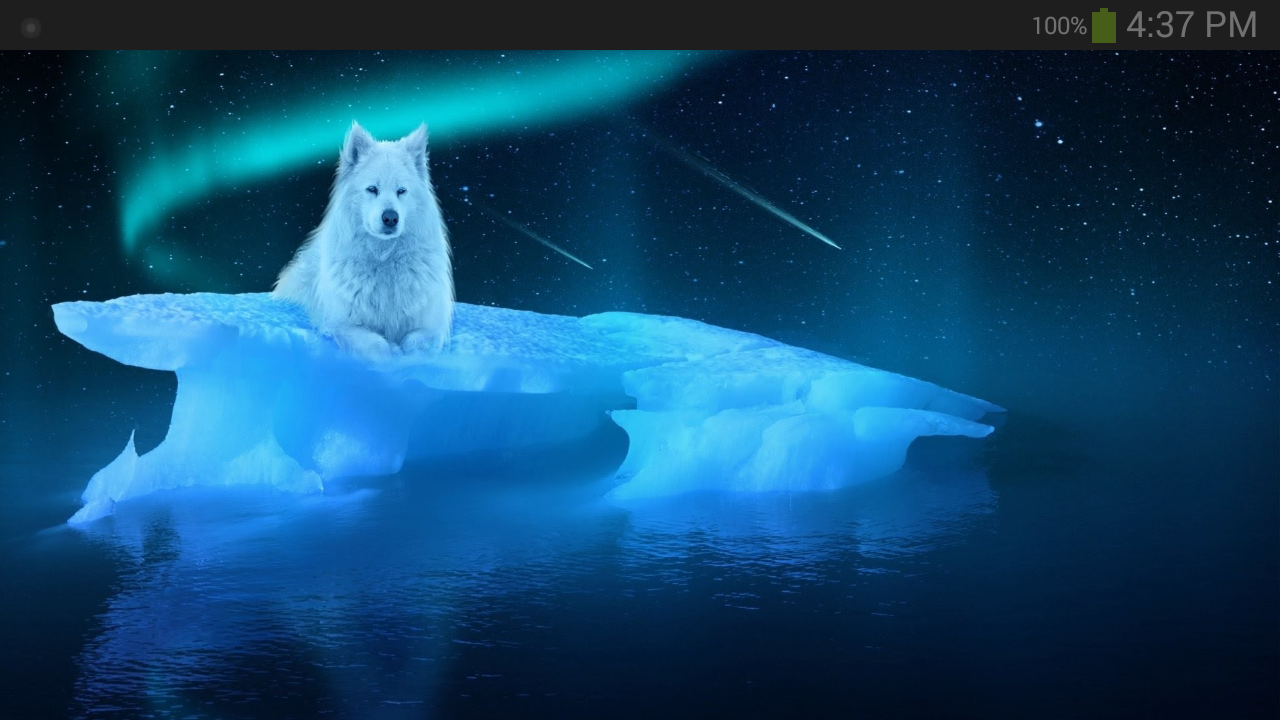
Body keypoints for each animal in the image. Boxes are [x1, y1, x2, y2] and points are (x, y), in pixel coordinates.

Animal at [273, 122, 454, 358]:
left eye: (401, 191)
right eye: (372, 189)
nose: (390, 218)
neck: (384, 260)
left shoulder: (431, 326)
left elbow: (415, 341)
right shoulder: (342, 324)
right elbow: (377, 344)